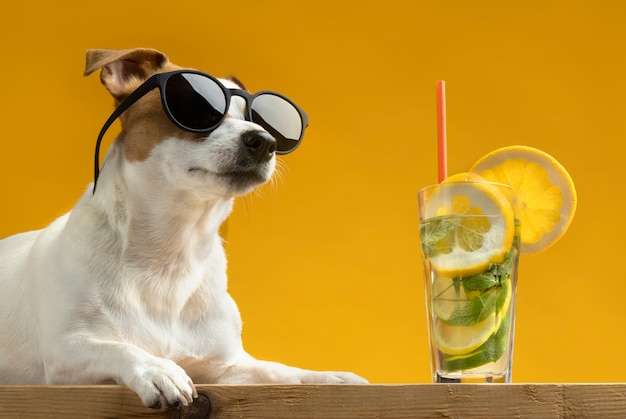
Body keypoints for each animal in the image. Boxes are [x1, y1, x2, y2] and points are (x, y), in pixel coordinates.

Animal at [0, 47, 366, 408]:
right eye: (196, 105)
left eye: (261, 119)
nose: (263, 140)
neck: (172, 254)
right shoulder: (65, 352)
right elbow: (117, 347)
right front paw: (156, 369)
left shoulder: (226, 366)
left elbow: (277, 371)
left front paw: (328, 378)